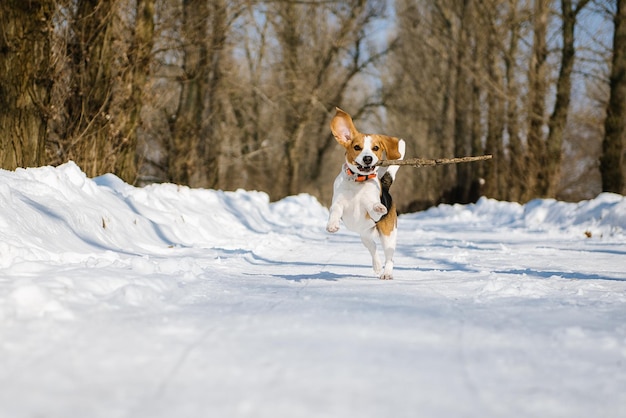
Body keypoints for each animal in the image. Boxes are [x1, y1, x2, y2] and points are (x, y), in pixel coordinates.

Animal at [324, 107, 408, 280]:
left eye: (375, 148)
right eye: (357, 147)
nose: (368, 158)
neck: (358, 181)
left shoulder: (371, 209)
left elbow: (372, 206)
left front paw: (378, 207)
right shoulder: (338, 203)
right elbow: (335, 211)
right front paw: (332, 225)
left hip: (388, 235)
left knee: (390, 257)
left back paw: (386, 273)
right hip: (365, 235)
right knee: (373, 248)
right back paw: (377, 265)